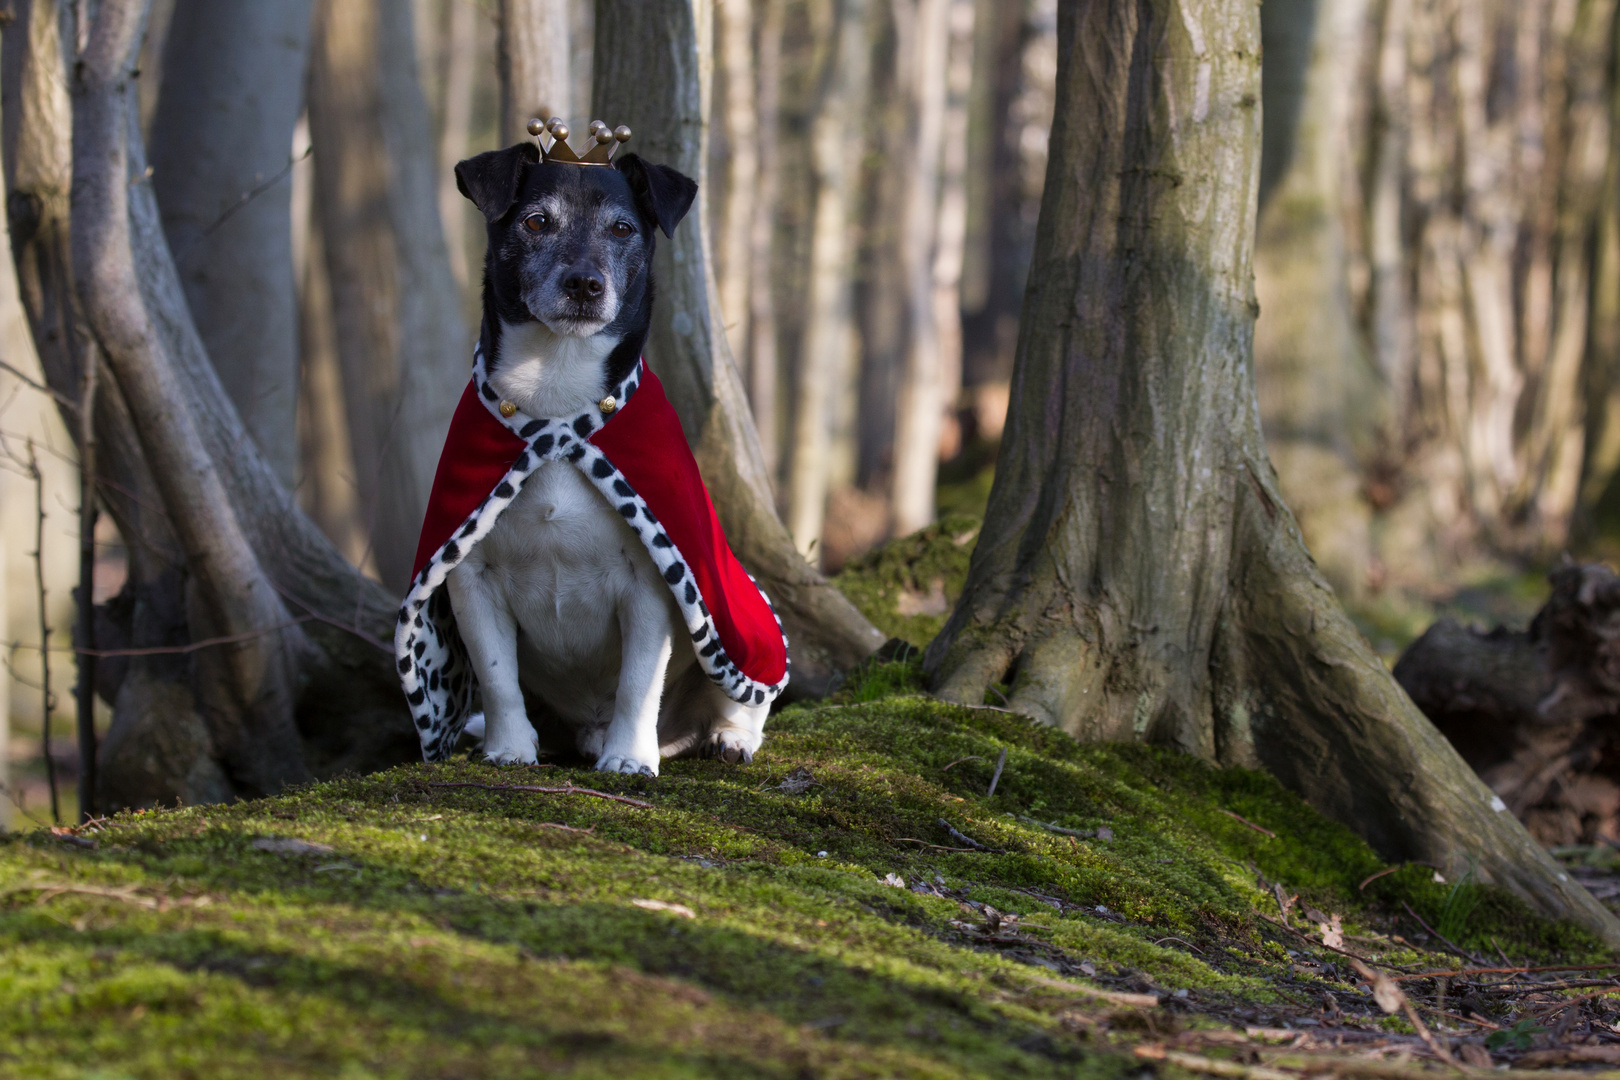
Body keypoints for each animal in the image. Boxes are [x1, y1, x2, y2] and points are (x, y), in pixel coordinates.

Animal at [414, 135, 780, 777]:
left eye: (623, 228)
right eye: (537, 222)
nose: (585, 284)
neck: (558, 402)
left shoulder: (655, 583)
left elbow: (639, 681)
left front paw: (629, 759)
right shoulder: (471, 580)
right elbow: (497, 677)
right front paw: (510, 748)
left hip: (740, 633)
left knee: (741, 701)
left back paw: (727, 738)